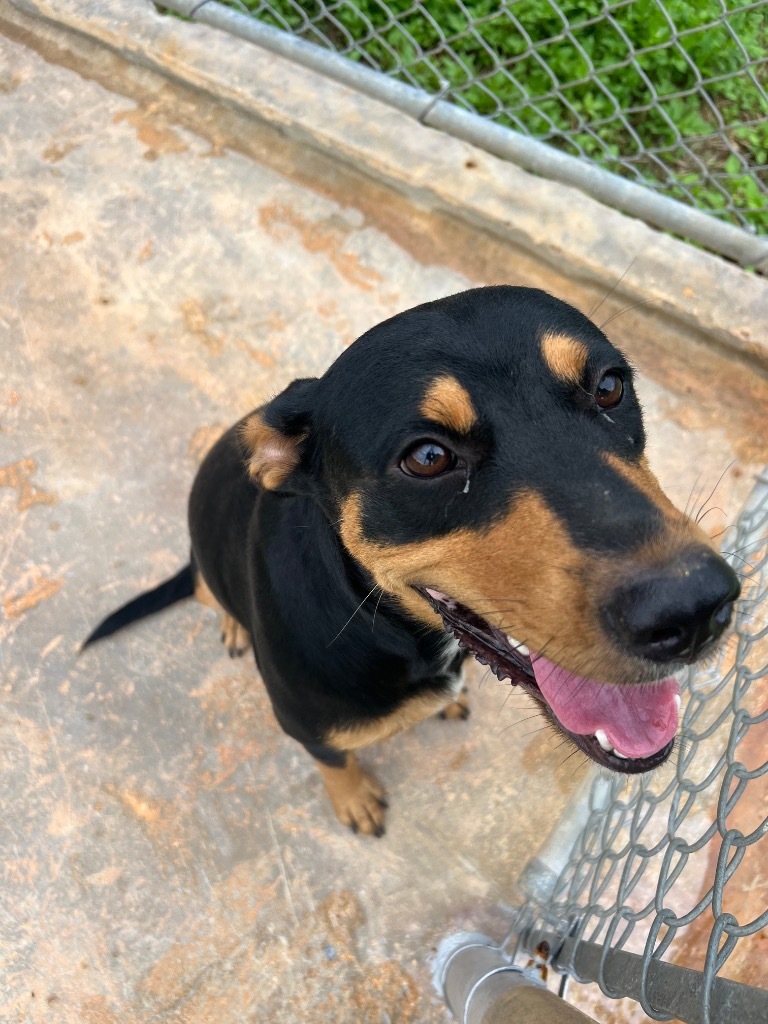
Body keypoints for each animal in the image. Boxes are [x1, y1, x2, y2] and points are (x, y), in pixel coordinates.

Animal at [83, 284, 741, 835]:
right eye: (427, 457)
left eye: (609, 387)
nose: (694, 609)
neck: (383, 624)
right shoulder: (307, 727)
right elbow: (335, 761)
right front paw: (354, 799)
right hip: (203, 573)